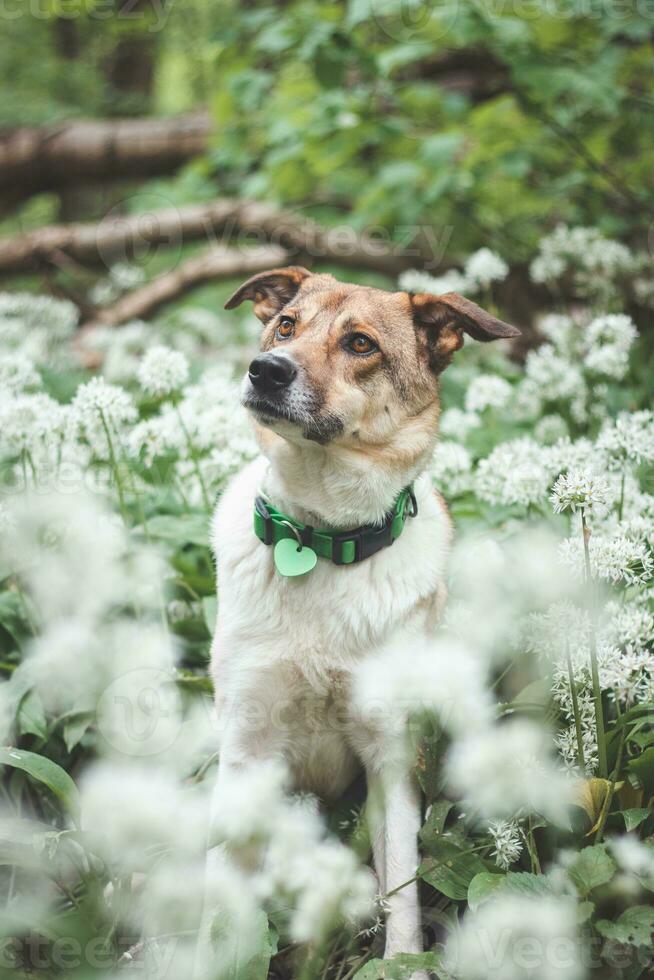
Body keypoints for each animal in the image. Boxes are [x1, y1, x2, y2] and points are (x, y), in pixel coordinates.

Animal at [211, 266, 524, 964]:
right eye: (286, 325)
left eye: (360, 344)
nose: (265, 370)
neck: (321, 540)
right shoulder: (245, 743)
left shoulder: (389, 754)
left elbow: (400, 887)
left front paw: (403, 963)